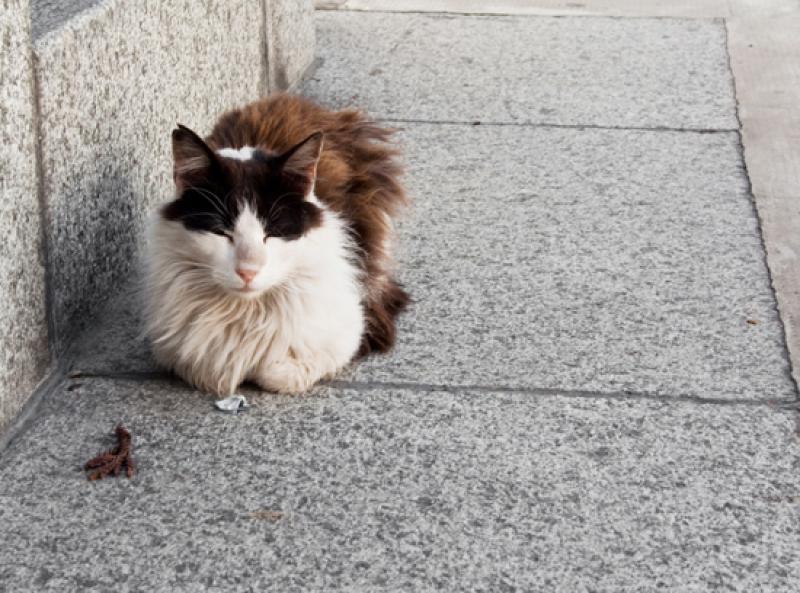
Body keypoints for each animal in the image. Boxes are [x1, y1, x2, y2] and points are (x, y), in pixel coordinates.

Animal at [141, 95, 410, 396]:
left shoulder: (349, 327)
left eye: (272, 233)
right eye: (222, 232)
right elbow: (210, 369)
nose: (248, 271)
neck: (245, 313)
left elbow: (278, 373)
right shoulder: (175, 348)